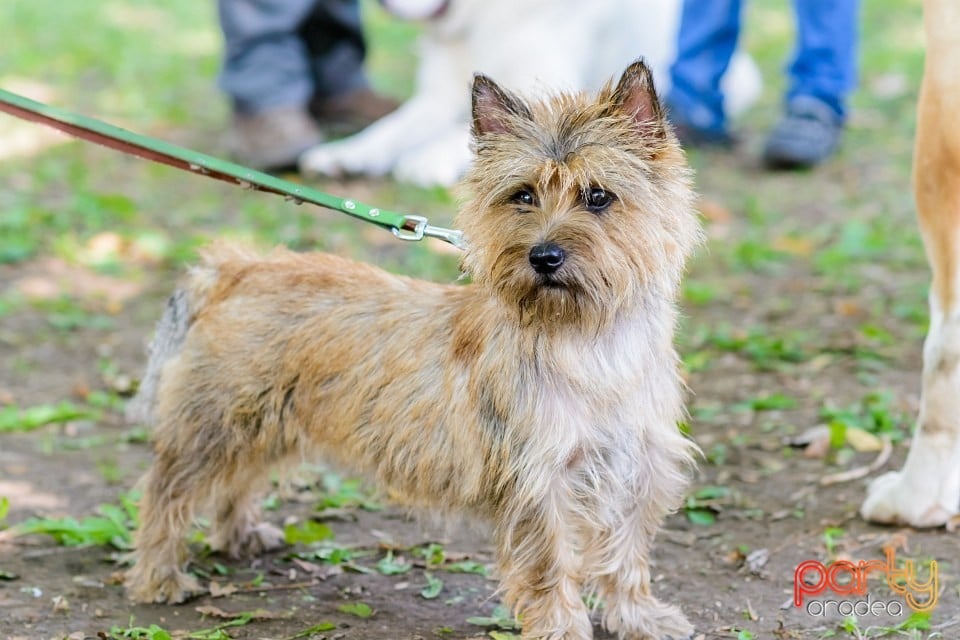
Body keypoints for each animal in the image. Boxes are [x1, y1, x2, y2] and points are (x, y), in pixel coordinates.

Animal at [125, 57, 696, 636]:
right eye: (524, 195)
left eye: (598, 196)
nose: (544, 256)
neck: (588, 341)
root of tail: (238, 267)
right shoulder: (539, 481)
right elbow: (549, 565)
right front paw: (562, 627)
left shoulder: (637, 468)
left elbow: (626, 556)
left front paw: (641, 617)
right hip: (214, 425)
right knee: (166, 492)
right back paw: (159, 577)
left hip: (262, 420)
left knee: (237, 480)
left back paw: (239, 535)